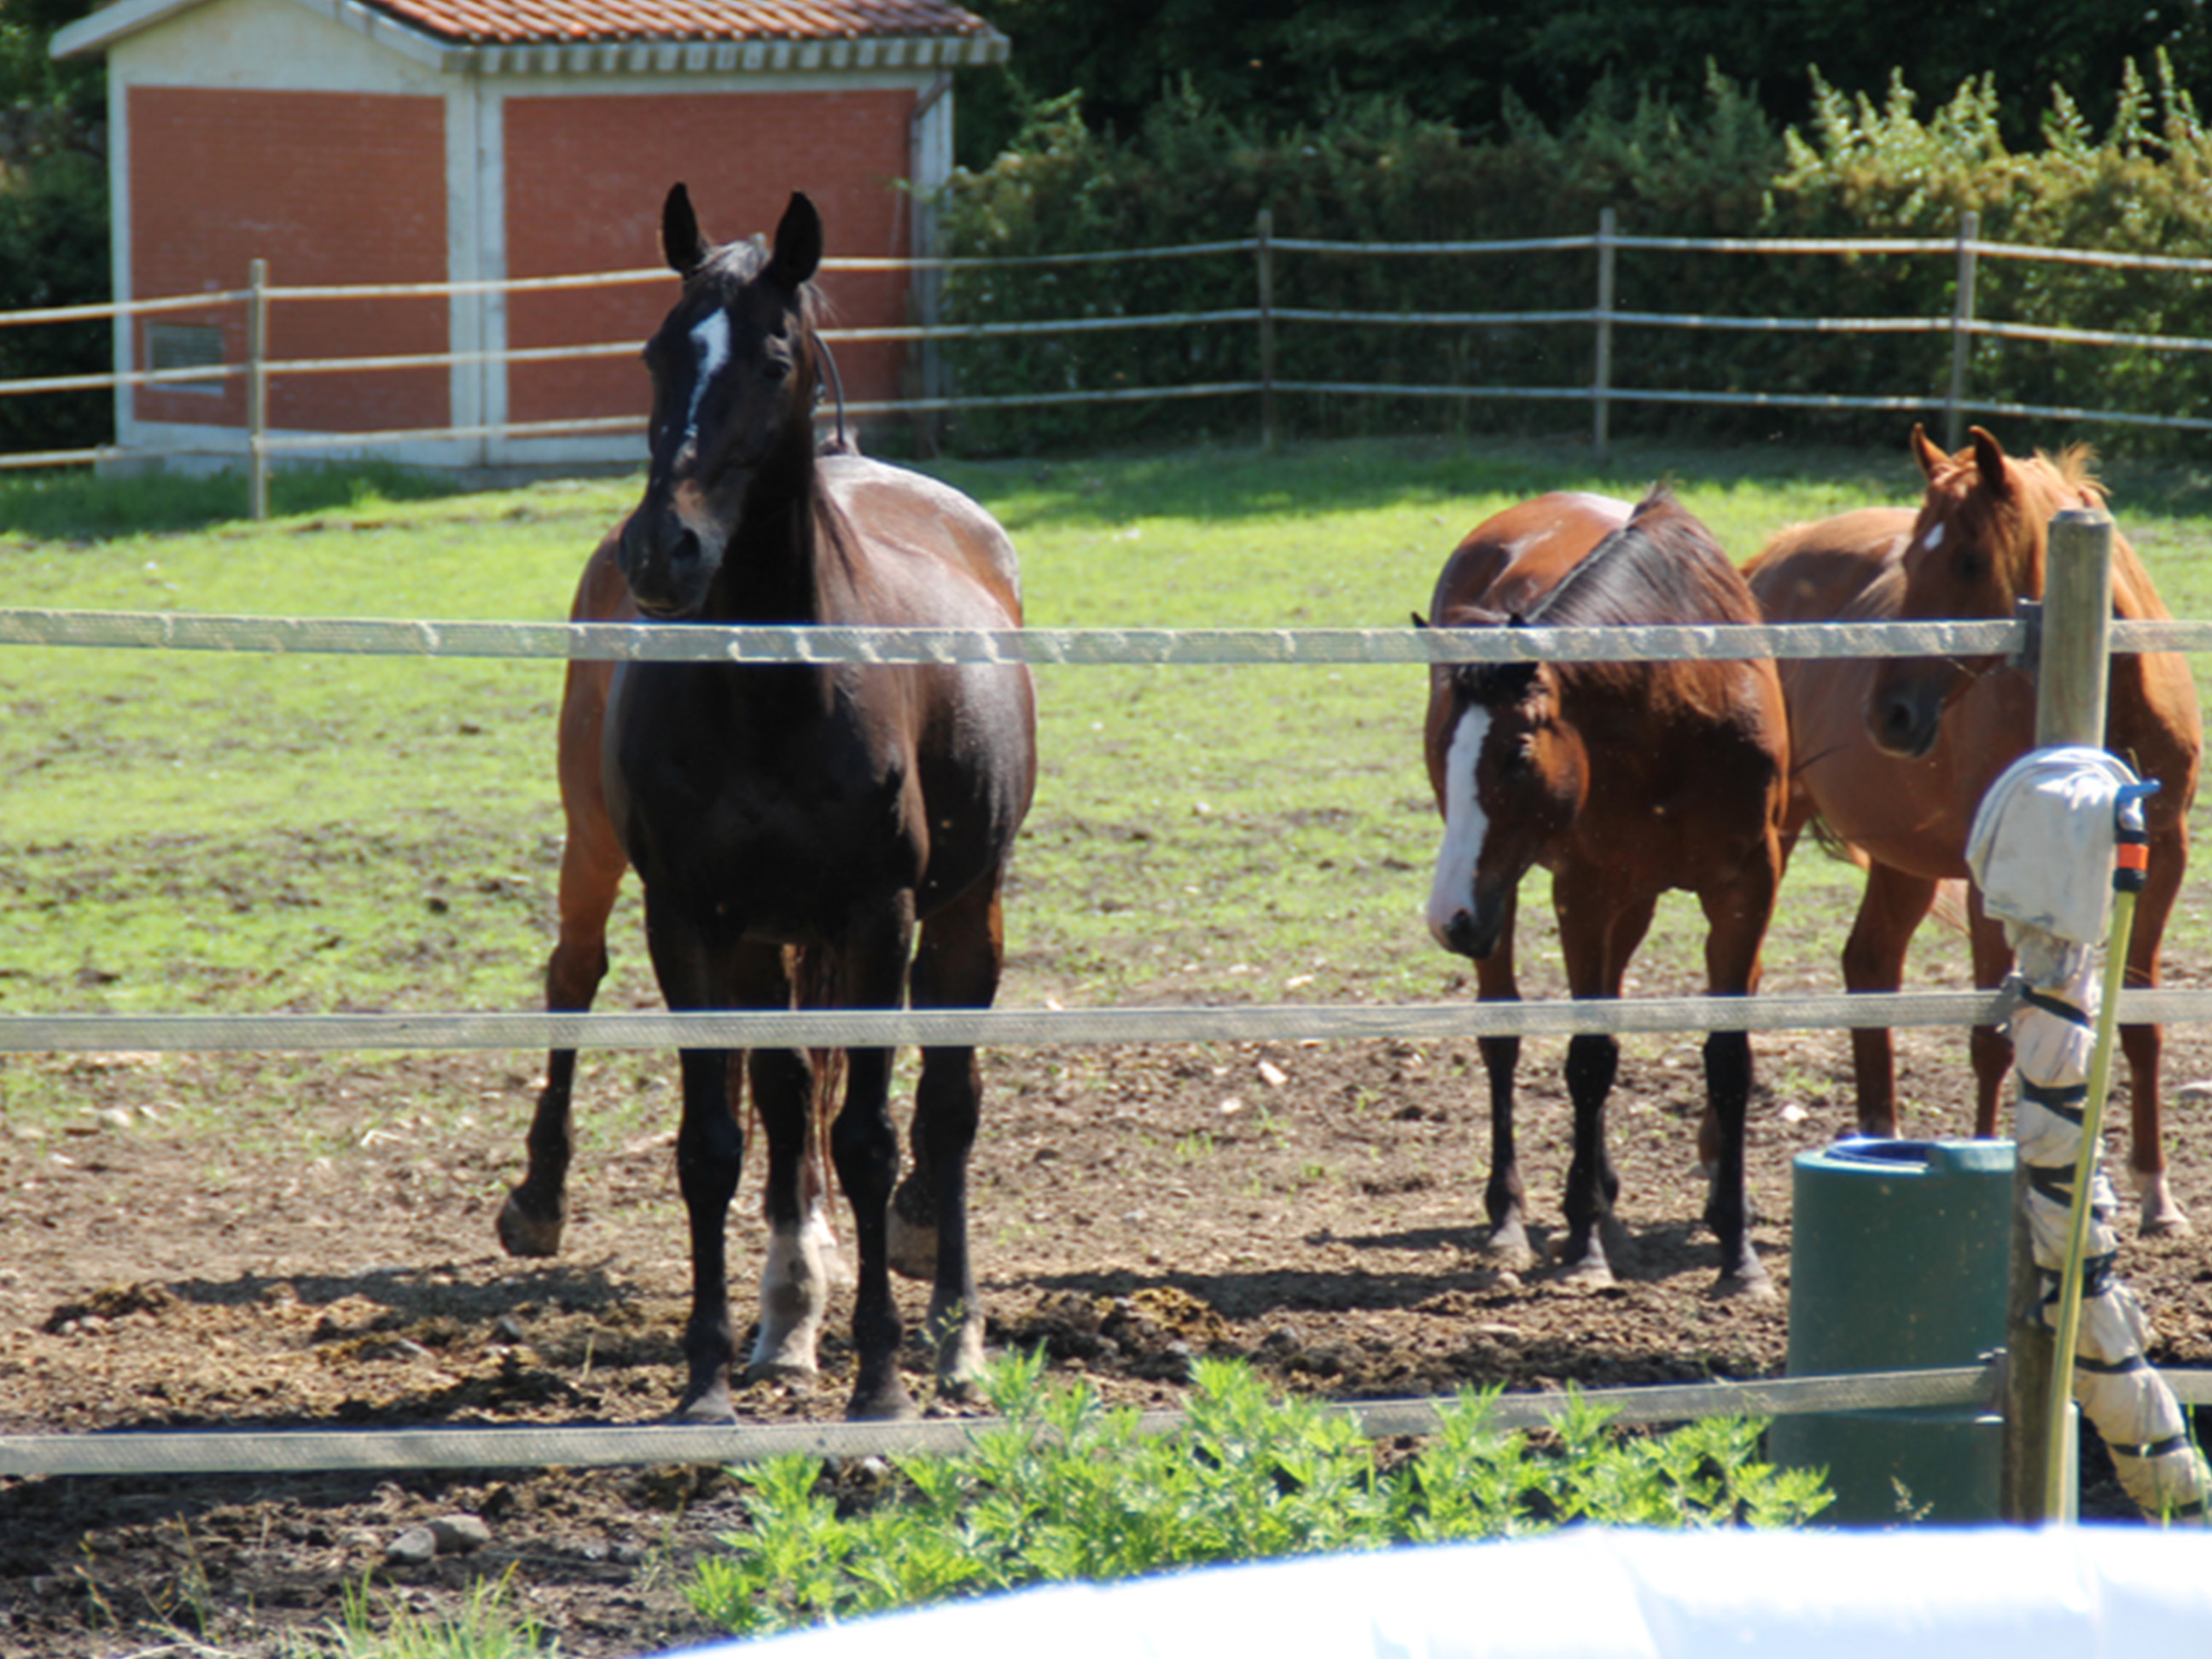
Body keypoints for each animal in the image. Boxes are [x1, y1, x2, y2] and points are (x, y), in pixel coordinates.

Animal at [506, 188, 1039, 1424]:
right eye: (658, 350)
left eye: (774, 357)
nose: (664, 550)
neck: (766, 687)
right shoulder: (690, 919)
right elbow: (715, 1140)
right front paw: (709, 1378)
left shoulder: (881, 917)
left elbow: (873, 1138)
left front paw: (883, 1381)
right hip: (623, 863)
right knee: (594, 984)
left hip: (964, 913)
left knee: (946, 1107)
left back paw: (953, 1332)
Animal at [1424, 491, 1787, 1301]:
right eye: (1443, 746)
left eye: (1516, 753)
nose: (1445, 919)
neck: (1679, 713)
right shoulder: (1584, 889)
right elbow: (1589, 1058)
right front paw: (1585, 1248)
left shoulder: (1747, 888)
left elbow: (1728, 1059)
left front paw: (1739, 1251)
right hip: (1517, 899)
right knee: (1503, 1032)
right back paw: (1514, 1219)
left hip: (1628, 901)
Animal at [1743, 428, 2194, 1238]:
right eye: (1909, 564)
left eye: (1970, 561)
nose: (1888, 715)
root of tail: (1772, 556)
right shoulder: (1995, 879)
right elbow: (1991, 1038)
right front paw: (1991, 1165)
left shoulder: (2162, 860)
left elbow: (2141, 1023)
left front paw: (2158, 1196)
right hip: (1778, 832)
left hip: (1903, 860)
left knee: (1869, 963)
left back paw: (1879, 1135)